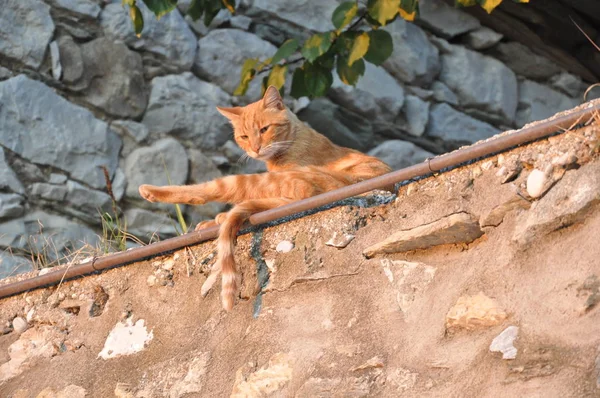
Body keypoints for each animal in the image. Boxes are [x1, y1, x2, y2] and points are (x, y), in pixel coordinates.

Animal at [141, 87, 394, 310]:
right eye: (244, 136)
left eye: (264, 130)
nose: (255, 148)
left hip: (261, 181)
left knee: (215, 190)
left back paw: (152, 191)